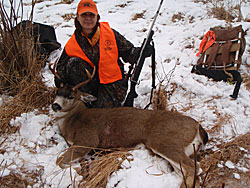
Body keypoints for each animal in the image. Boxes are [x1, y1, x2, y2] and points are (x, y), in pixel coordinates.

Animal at [49, 61, 209, 187]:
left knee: (192, 167)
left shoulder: (88, 139)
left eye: (71, 96)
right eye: (57, 92)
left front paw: (79, 170)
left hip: (164, 141)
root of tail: (198, 127)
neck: (72, 121)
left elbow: (59, 161)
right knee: (189, 172)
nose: (55, 105)